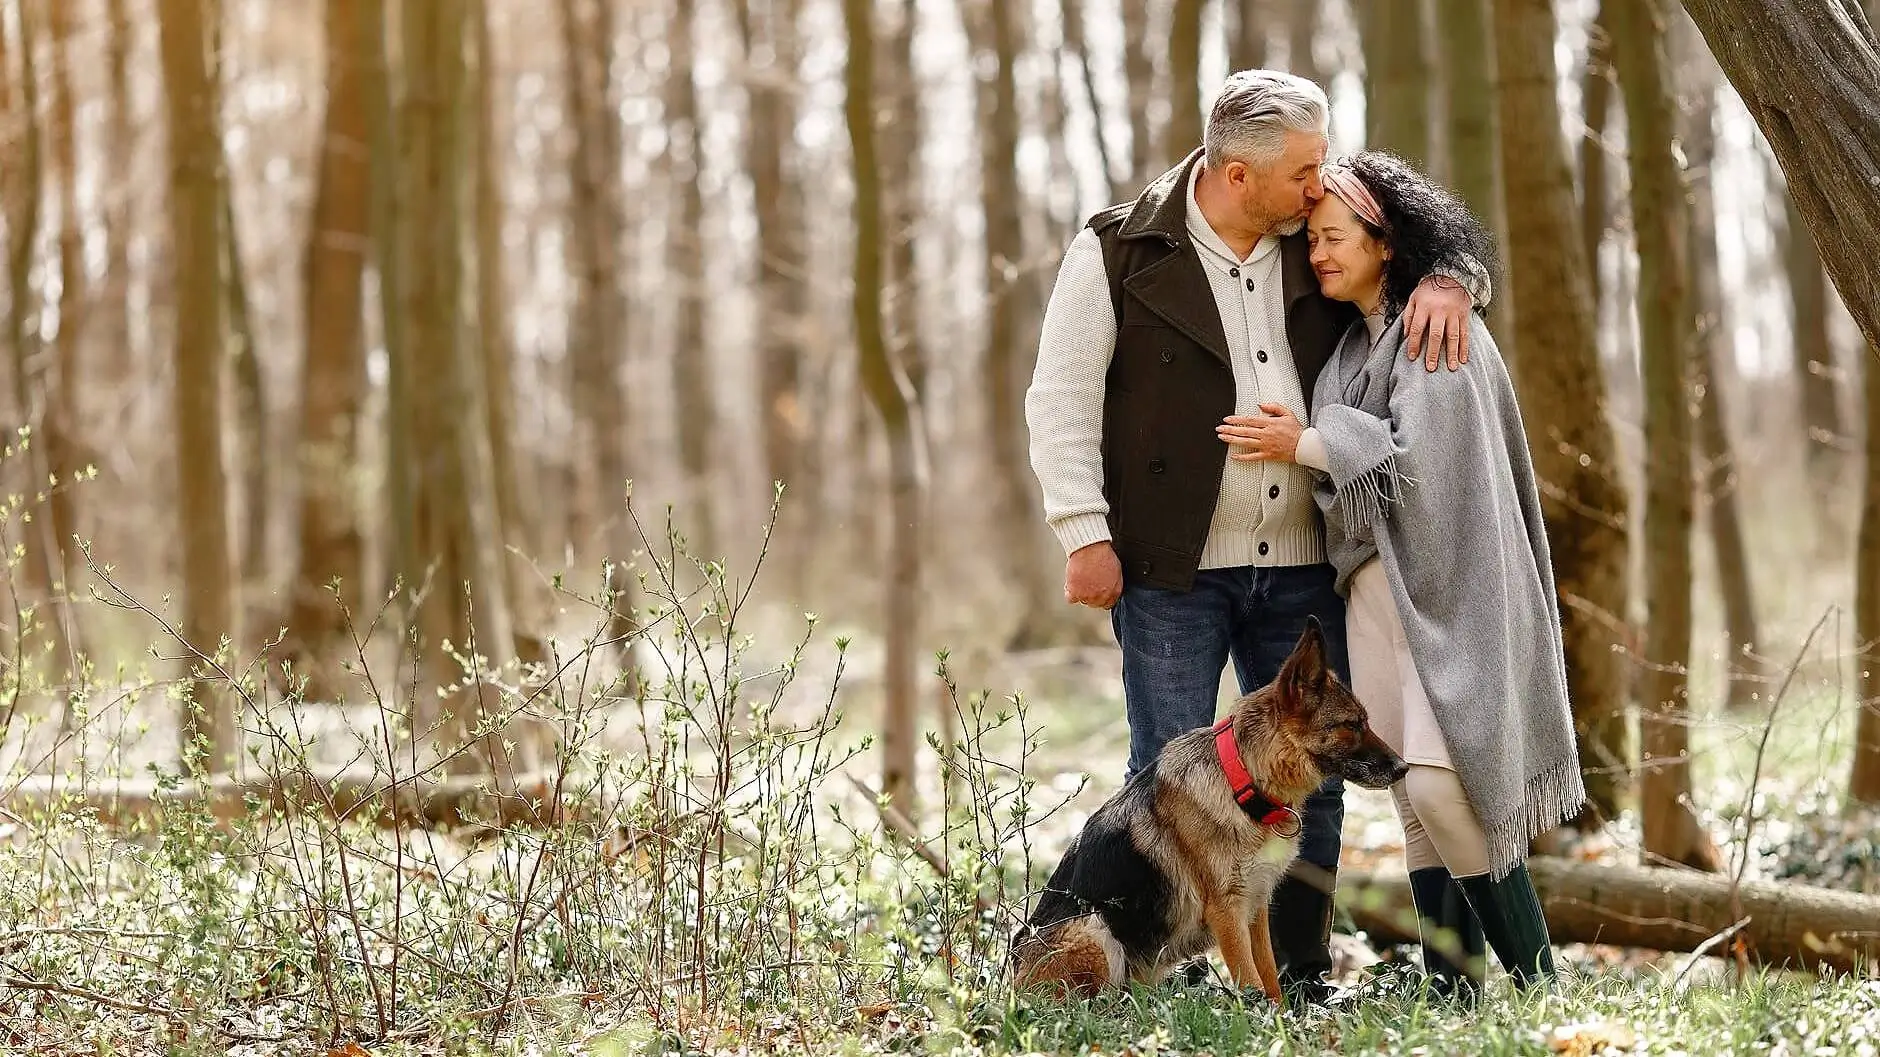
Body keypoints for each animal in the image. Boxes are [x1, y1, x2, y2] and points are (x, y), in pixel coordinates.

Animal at [1015, 616, 1398, 993]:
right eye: (1352, 725)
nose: (1403, 767)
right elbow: (1251, 980)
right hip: (1094, 930)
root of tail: (1010, 983)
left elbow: (1269, 976)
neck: (1242, 780)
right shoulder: (1227, 911)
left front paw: (1278, 1011)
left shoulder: (1255, 904)